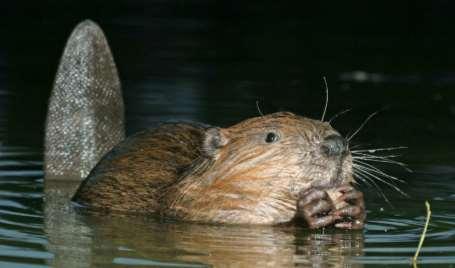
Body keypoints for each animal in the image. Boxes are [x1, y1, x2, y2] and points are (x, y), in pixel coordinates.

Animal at [44, 20, 366, 228]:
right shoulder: (199, 205)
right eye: (271, 137)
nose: (335, 144)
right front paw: (310, 207)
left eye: (327, 123)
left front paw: (354, 202)